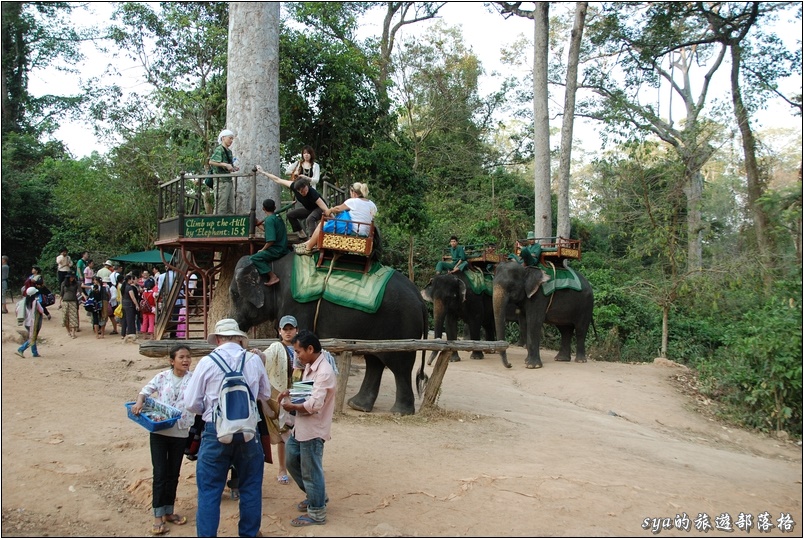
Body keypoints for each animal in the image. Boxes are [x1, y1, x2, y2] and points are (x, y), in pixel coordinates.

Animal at [229, 254, 430, 418]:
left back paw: (399, 412)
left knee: (399, 365)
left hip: (401, 325)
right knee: (374, 361)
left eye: (234, 294)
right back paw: (358, 406)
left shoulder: (297, 305)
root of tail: (420, 299)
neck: (271, 264)